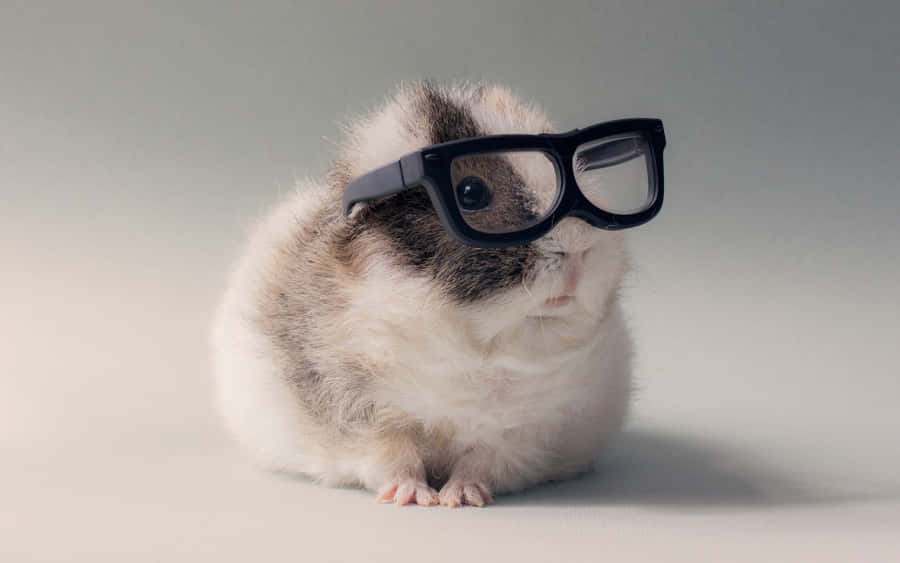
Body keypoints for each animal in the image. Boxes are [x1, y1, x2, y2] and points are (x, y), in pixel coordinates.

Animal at [211, 82, 632, 507]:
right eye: (471, 192)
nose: (579, 247)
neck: (473, 343)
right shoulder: (358, 413)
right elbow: (393, 456)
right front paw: (415, 497)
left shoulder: (523, 432)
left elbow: (483, 462)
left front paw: (460, 497)